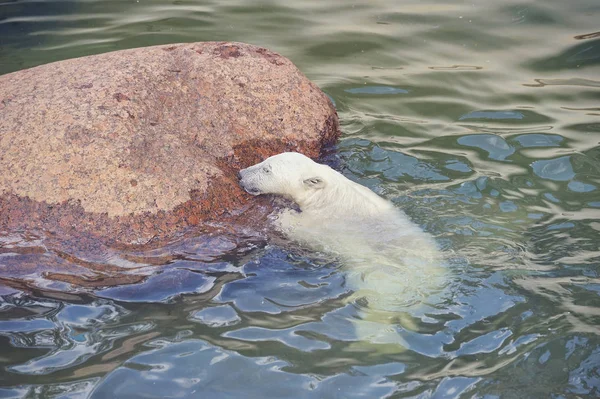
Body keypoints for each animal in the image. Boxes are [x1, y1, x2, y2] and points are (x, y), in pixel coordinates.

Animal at [238, 152, 446, 344]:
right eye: (263, 160)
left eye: (267, 170)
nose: (240, 175)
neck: (327, 194)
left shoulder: (322, 223)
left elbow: (295, 226)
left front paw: (280, 212)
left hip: (386, 284)